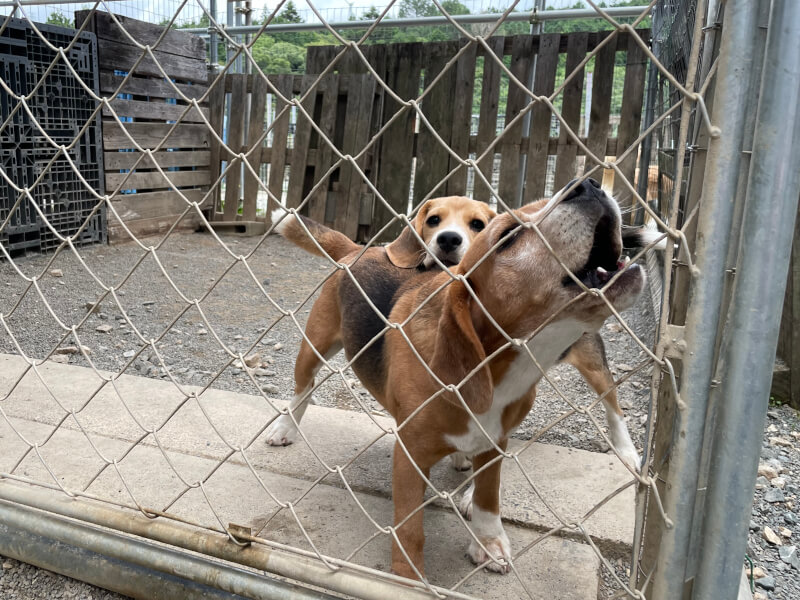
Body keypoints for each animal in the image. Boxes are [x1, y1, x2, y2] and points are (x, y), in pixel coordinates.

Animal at [268, 180, 644, 580]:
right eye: (507, 236)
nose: (589, 184)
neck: (500, 370)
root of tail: (360, 250)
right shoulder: (411, 453)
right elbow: (409, 528)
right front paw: (408, 577)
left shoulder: (497, 442)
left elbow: (488, 497)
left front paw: (488, 541)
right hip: (314, 346)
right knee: (302, 391)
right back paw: (285, 428)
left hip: (590, 358)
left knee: (613, 403)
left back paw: (626, 453)